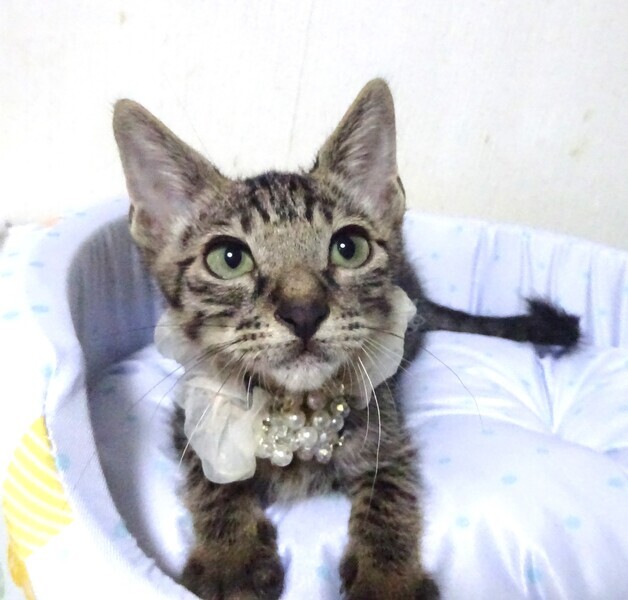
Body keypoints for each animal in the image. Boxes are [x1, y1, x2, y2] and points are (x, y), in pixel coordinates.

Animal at [112, 79, 579, 600]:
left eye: (348, 247)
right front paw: (229, 560)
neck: (293, 411)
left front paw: (388, 581)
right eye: (229, 258)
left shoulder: (388, 432)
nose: (303, 312)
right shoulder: (191, 415)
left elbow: (389, 494)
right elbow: (212, 480)